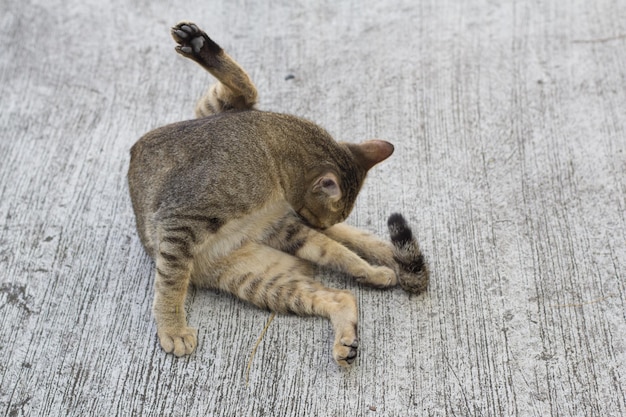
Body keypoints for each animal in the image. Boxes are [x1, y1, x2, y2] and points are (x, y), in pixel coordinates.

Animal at [128, 22, 428, 366]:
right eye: (326, 215)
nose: (319, 225)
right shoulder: (180, 221)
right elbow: (171, 281)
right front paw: (173, 329)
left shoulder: (280, 226)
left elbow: (337, 252)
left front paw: (367, 269)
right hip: (256, 278)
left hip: (268, 278)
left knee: (341, 292)